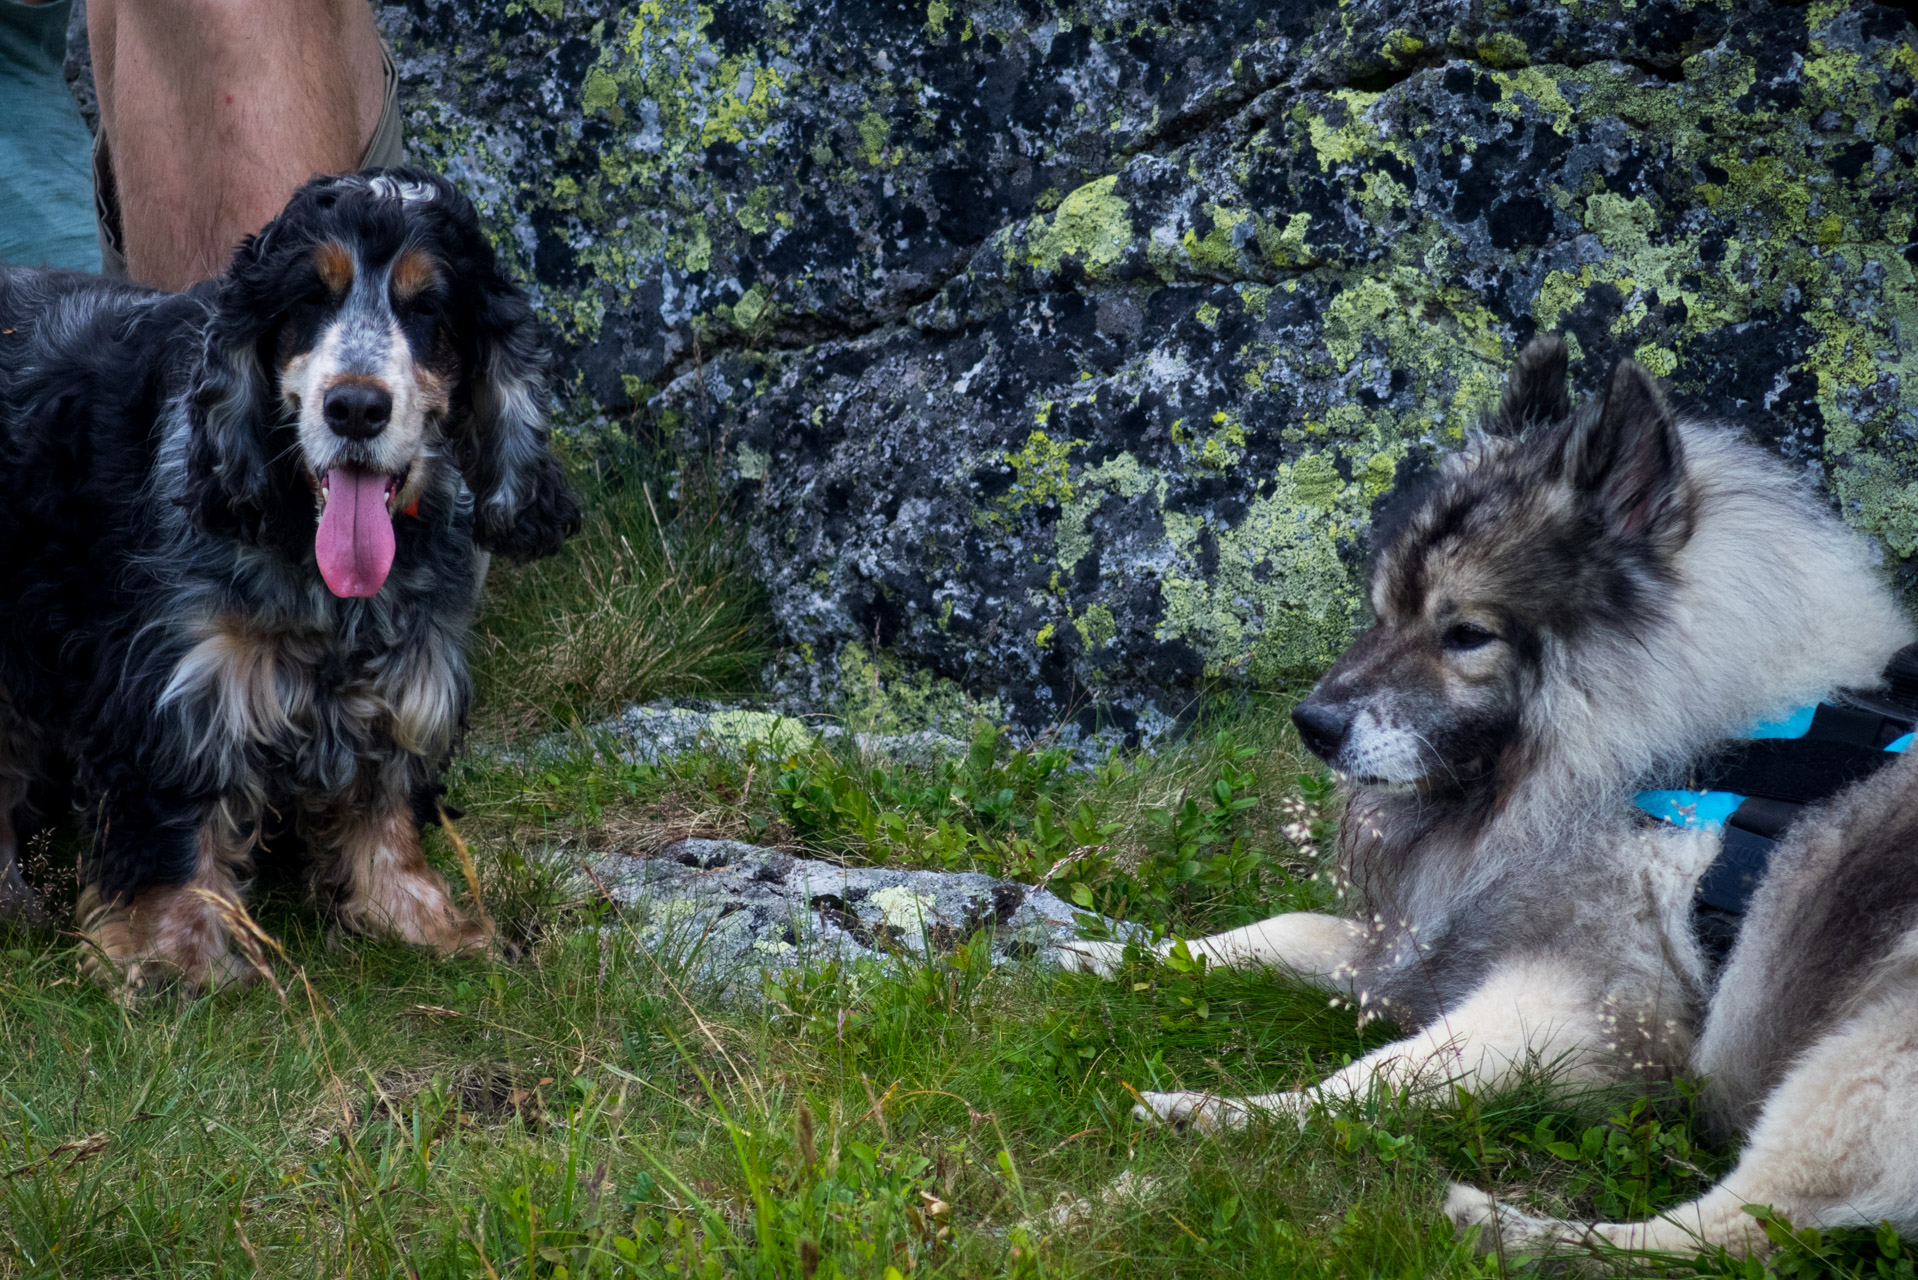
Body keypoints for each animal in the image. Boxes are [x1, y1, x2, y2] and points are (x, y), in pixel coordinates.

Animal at [1058, 335, 1918, 1258]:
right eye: (1382, 611)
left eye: (1466, 633)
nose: (1311, 725)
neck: (1686, 749)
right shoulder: (1430, 940)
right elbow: (1268, 934)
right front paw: (1093, 950)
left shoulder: (1588, 1005)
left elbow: (1382, 1075)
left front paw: (1234, 1113)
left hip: (1864, 1056)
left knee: (1727, 1233)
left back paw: (1501, 1226)